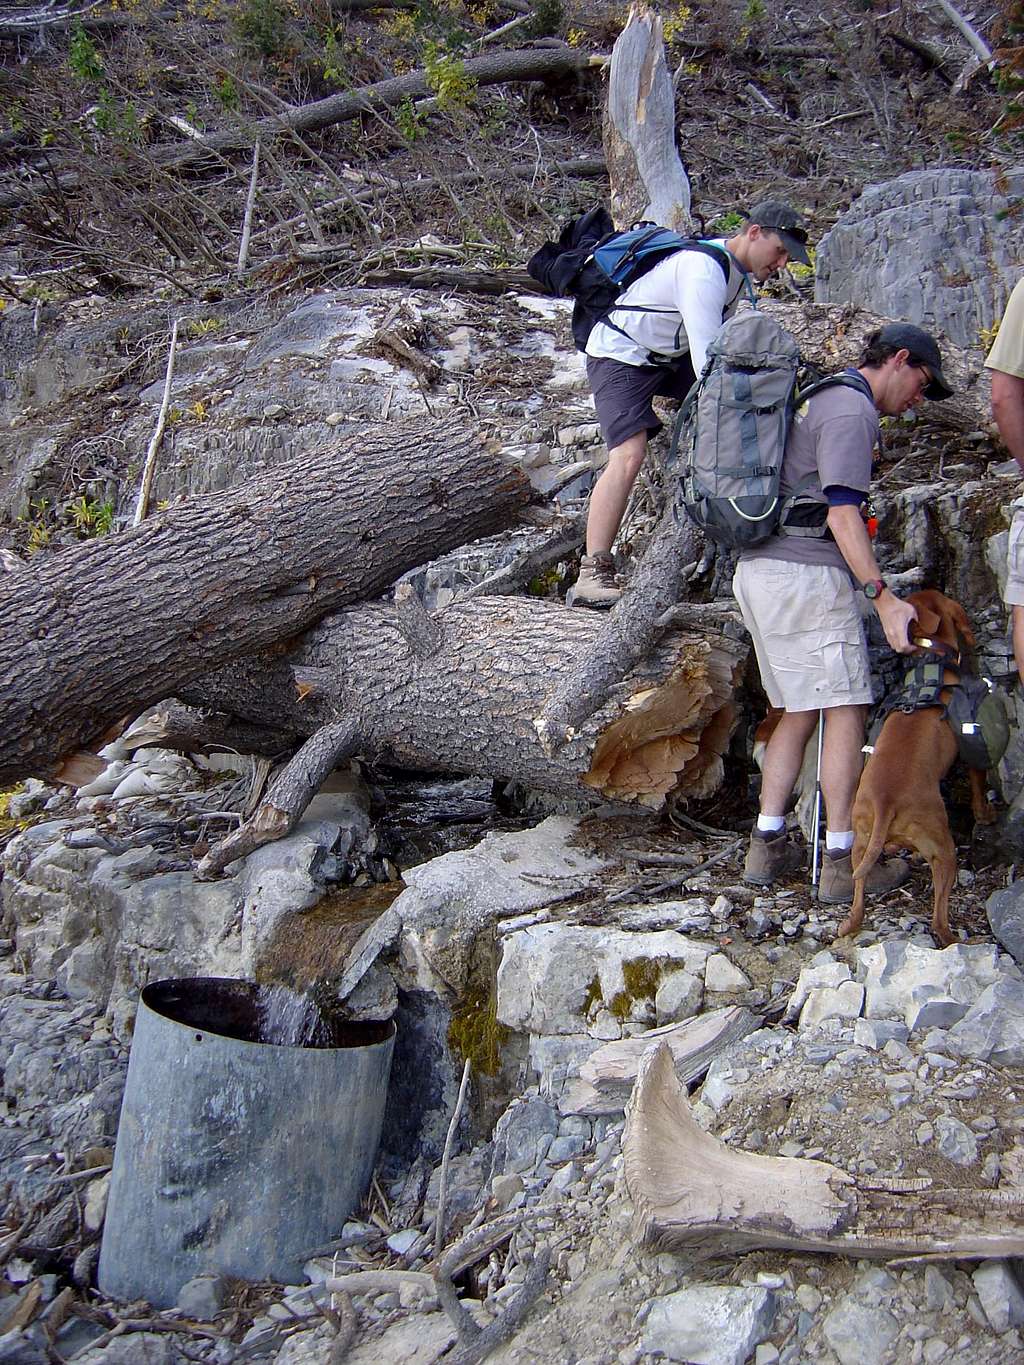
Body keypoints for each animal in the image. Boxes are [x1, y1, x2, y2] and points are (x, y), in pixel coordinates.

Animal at [835, 586, 999, 950]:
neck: (931, 658)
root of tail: (885, 802)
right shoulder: (971, 748)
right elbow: (979, 785)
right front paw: (985, 814)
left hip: (860, 843)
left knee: (857, 899)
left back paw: (849, 922)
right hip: (944, 850)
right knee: (938, 919)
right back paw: (959, 940)